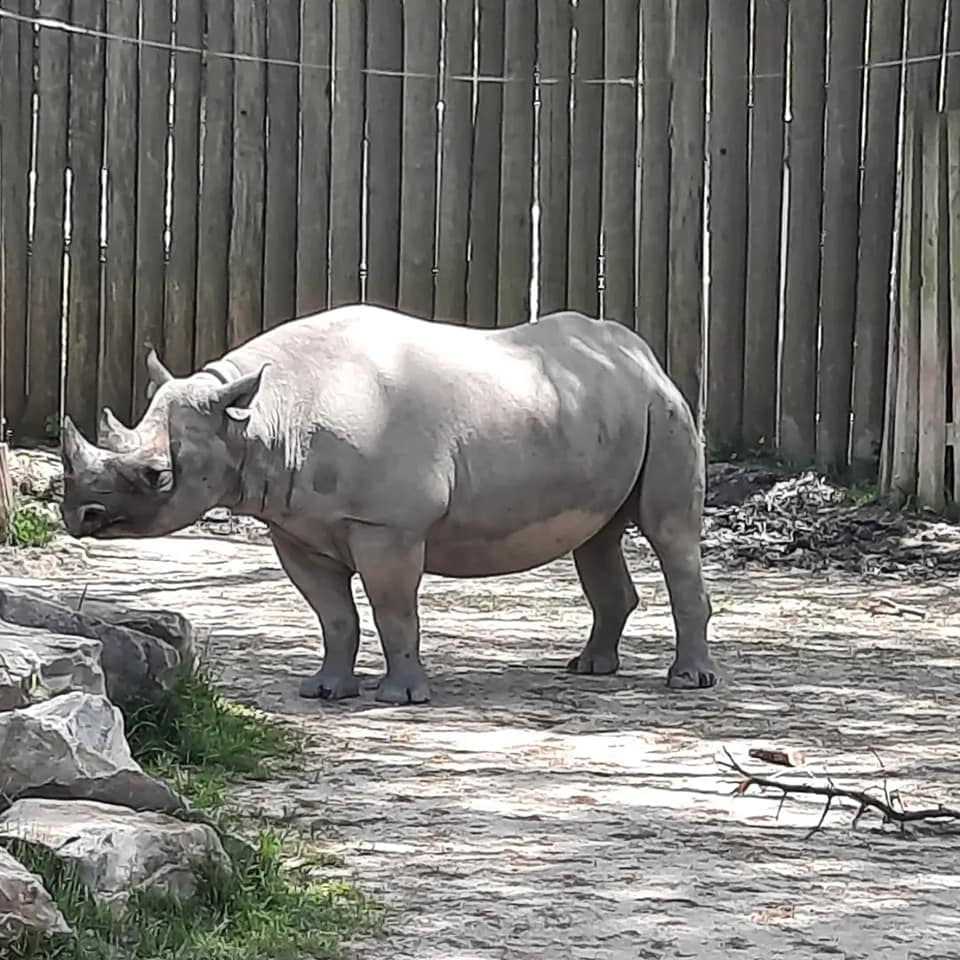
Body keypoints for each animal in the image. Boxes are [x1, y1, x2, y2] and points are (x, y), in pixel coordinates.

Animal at [59, 305, 718, 705]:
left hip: (666, 409)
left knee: (669, 532)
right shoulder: (294, 526)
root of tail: (645, 355)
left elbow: (393, 610)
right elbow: (334, 616)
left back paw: (688, 682)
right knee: (597, 536)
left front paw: (401, 697)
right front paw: (325, 690)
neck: (254, 418)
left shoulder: (387, 525)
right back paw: (590, 668)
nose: (79, 517)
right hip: (601, 409)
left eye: (155, 475)